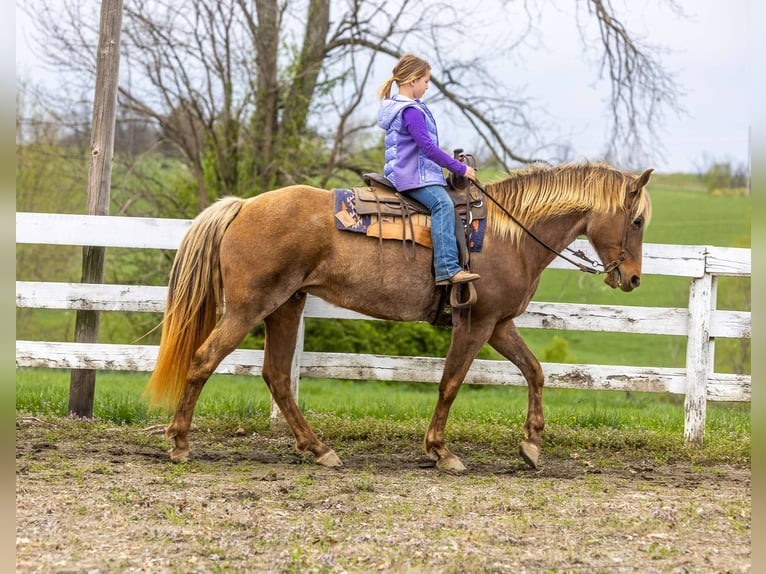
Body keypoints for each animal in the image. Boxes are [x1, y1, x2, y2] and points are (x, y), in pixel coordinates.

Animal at [145, 161, 653, 472]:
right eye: (637, 221)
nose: (632, 279)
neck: (509, 234)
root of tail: (243, 206)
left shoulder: (499, 325)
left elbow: (535, 370)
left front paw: (531, 444)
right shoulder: (476, 324)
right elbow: (451, 382)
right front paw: (441, 451)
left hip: (286, 306)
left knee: (276, 376)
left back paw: (318, 449)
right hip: (250, 307)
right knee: (204, 360)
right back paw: (180, 443)